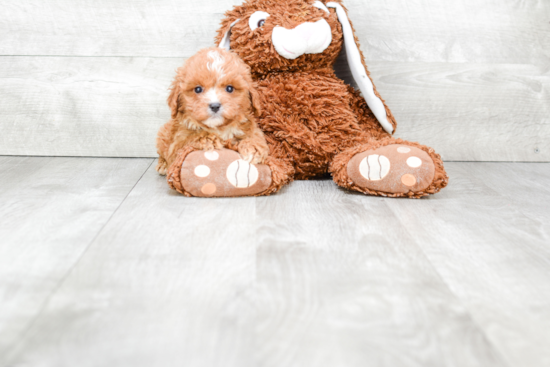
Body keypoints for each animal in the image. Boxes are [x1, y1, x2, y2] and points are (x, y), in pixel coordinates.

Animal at [156, 46, 268, 176]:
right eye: (198, 89)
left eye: (229, 88)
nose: (215, 106)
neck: (219, 128)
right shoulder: (177, 146)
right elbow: (195, 137)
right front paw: (211, 140)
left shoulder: (249, 127)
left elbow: (255, 135)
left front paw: (253, 148)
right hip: (163, 135)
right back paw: (163, 164)